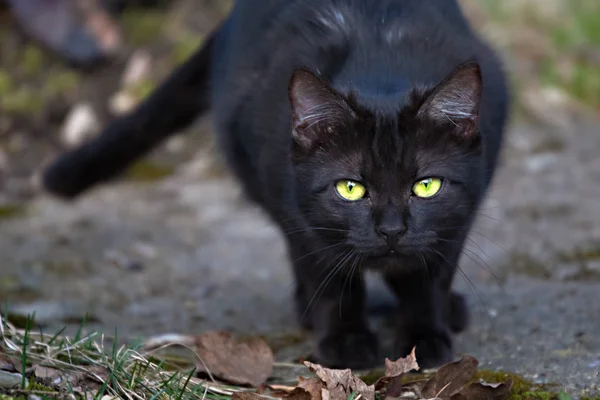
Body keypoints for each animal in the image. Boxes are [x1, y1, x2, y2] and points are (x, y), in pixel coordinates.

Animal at [43, 0, 510, 368]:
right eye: (350, 188)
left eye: (426, 186)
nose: (391, 230)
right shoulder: (295, 211)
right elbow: (328, 278)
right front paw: (345, 340)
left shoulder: (460, 212)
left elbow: (429, 277)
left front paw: (423, 336)